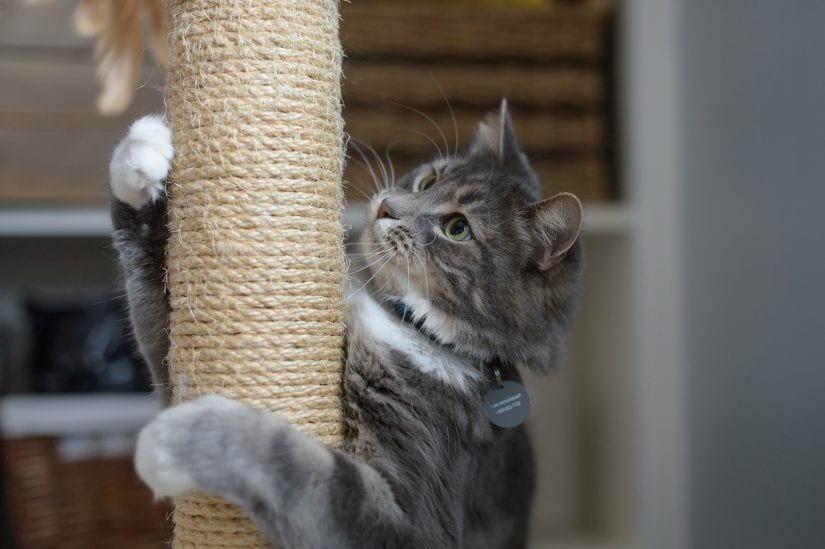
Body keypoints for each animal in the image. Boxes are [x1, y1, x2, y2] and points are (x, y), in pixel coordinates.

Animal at [111, 100, 580, 544]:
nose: (387, 206)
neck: (403, 322)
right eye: (429, 181)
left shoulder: (410, 520)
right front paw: (143, 155)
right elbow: (154, 299)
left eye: (458, 228)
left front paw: (178, 440)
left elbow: (289, 460)